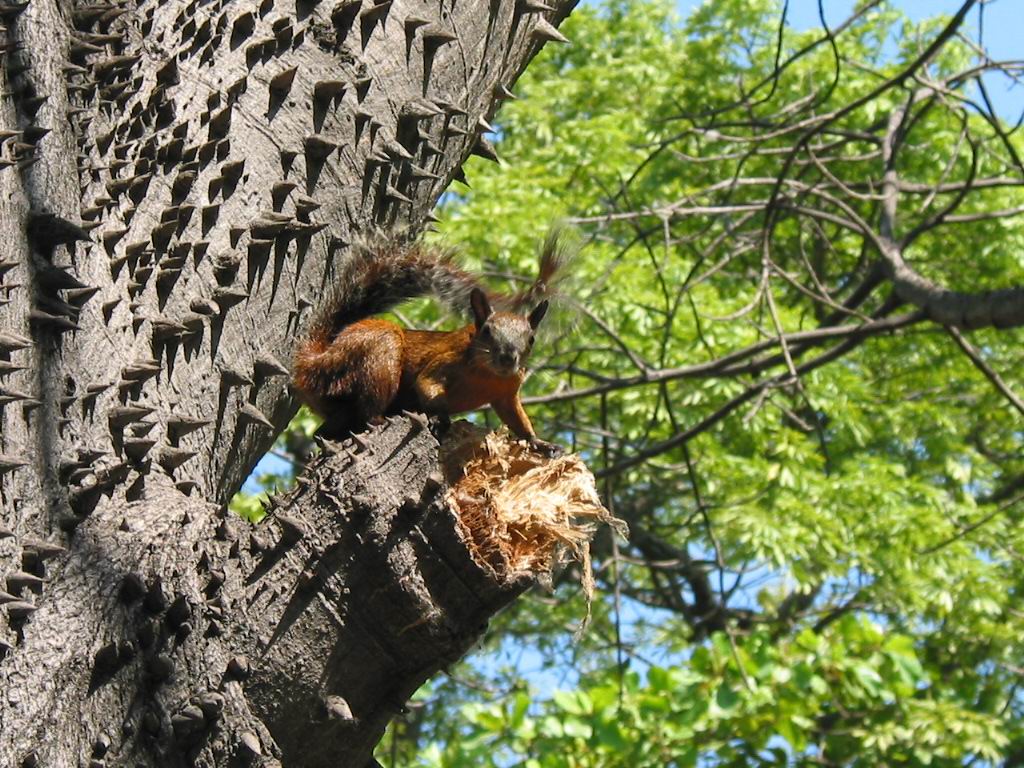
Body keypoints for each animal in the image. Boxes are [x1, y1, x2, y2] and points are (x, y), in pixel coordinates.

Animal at [292, 231, 573, 454]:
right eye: (486, 331)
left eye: (531, 338)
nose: (507, 357)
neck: (488, 376)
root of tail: (315, 360)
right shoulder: (445, 362)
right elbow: (426, 385)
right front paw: (441, 416)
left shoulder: (507, 393)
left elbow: (516, 419)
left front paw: (539, 442)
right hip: (378, 354)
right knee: (369, 408)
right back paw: (380, 420)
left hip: (341, 406)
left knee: (325, 429)